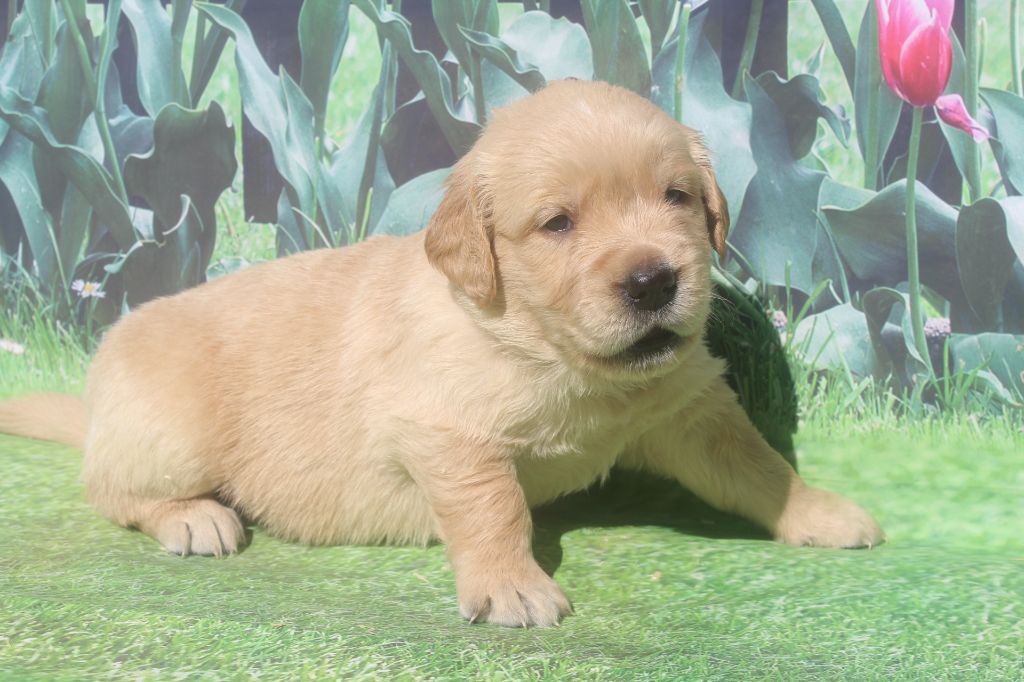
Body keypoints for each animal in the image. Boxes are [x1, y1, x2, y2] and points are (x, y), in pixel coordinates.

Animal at [0, 80, 883, 627]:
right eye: (558, 223)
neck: (558, 357)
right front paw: (511, 586)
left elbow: (758, 465)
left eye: (677, 198)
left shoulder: (691, 406)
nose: (653, 281)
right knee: (111, 488)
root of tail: (96, 401)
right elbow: (496, 507)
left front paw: (819, 512)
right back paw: (193, 517)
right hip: (169, 430)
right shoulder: (447, 431)